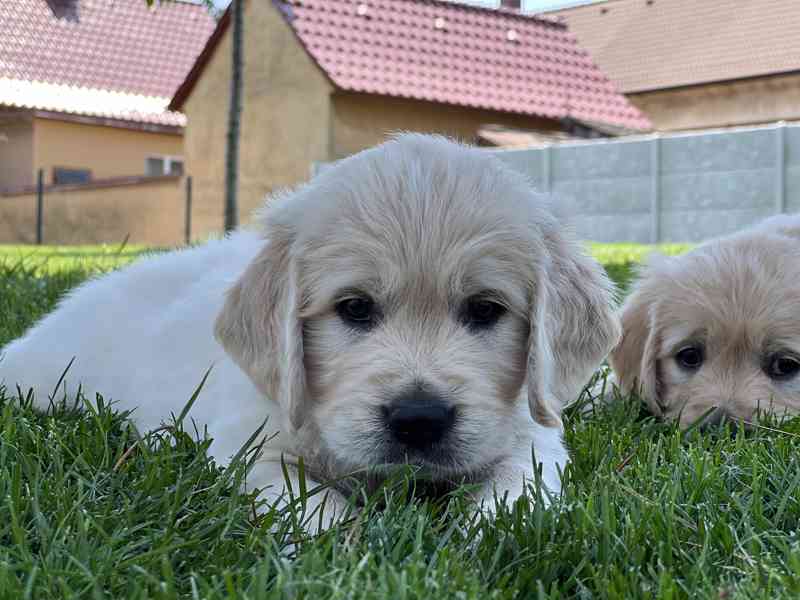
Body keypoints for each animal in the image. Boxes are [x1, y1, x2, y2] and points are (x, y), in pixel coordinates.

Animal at [0, 132, 620, 528]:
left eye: (485, 310)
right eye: (355, 308)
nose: (419, 419)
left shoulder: (530, 435)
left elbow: (519, 489)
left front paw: (486, 533)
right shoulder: (253, 448)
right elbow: (313, 506)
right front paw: (348, 552)